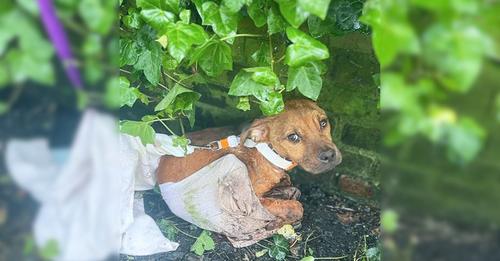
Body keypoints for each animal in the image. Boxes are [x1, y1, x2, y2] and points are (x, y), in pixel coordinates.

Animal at [158, 98, 342, 229]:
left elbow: (294, 190)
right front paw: (277, 221)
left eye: (323, 123)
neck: (268, 154)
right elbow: (296, 207)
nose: (329, 155)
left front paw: (283, 193)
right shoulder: (253, 201)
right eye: (293, 137)